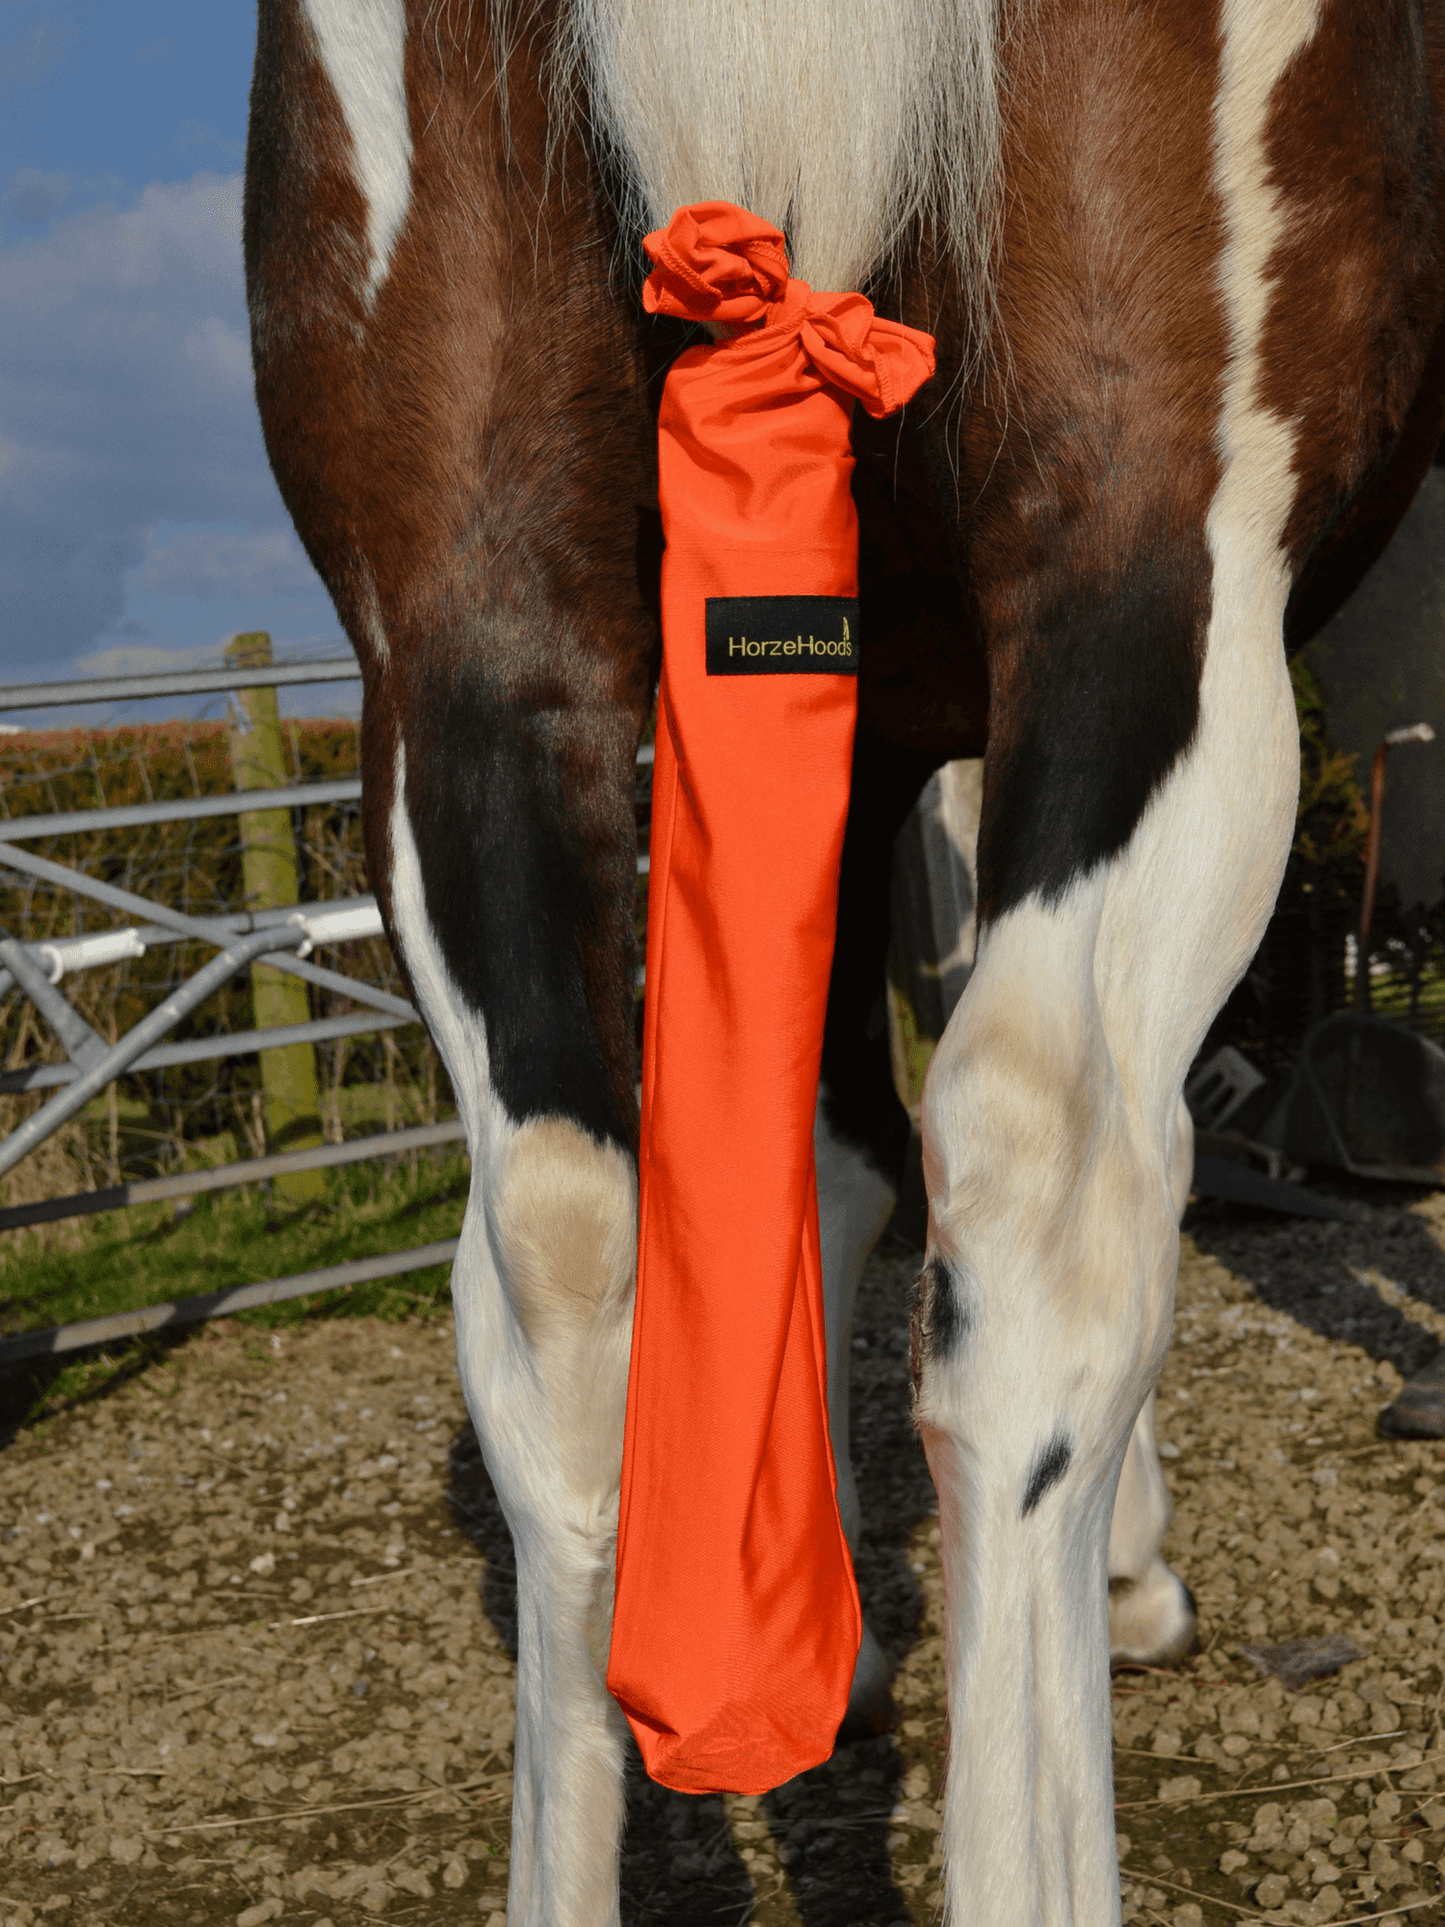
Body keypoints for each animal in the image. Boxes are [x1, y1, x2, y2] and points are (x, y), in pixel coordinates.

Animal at [244, 2, 1445, 1919]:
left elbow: (806, 1154)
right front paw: (1121, 1561)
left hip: (460, 614)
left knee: (563, 1251)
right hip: (1150, 528)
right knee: (1047, 1181)